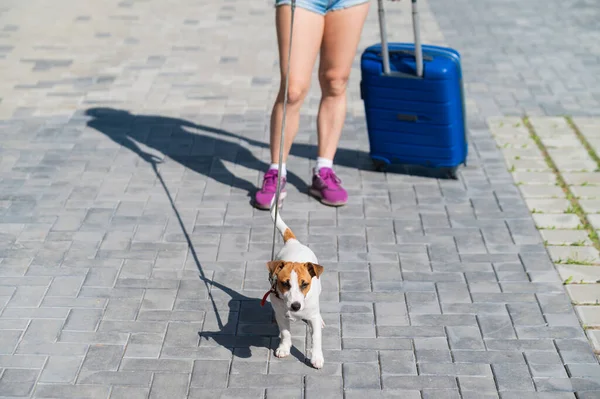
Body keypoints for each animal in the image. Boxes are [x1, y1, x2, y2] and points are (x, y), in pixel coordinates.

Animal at [262, 199, 326, 368]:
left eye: (304, 284)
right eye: (285, 283)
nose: (296, 306)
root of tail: (293, 242)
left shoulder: (312, 317)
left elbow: (316, 337)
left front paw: (317, 357)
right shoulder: (281, 315)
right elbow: (285, 333)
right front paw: (284, 348)